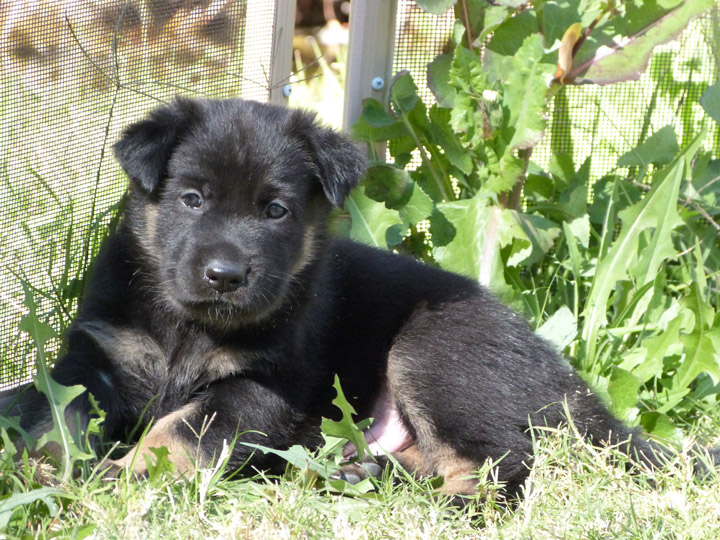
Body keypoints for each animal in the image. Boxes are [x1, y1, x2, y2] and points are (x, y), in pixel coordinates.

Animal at [14, 97, 684, 498]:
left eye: (276, 210)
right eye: (192, 199)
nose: (226, 274)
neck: (189, 328)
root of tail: (571, 384)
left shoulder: (263, 385)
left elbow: (181, 429)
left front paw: (124, 474)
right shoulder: (97, 355)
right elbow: (58, 413)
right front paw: (42, 465)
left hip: (434, 350)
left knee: (503, 464)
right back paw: (365, 470)